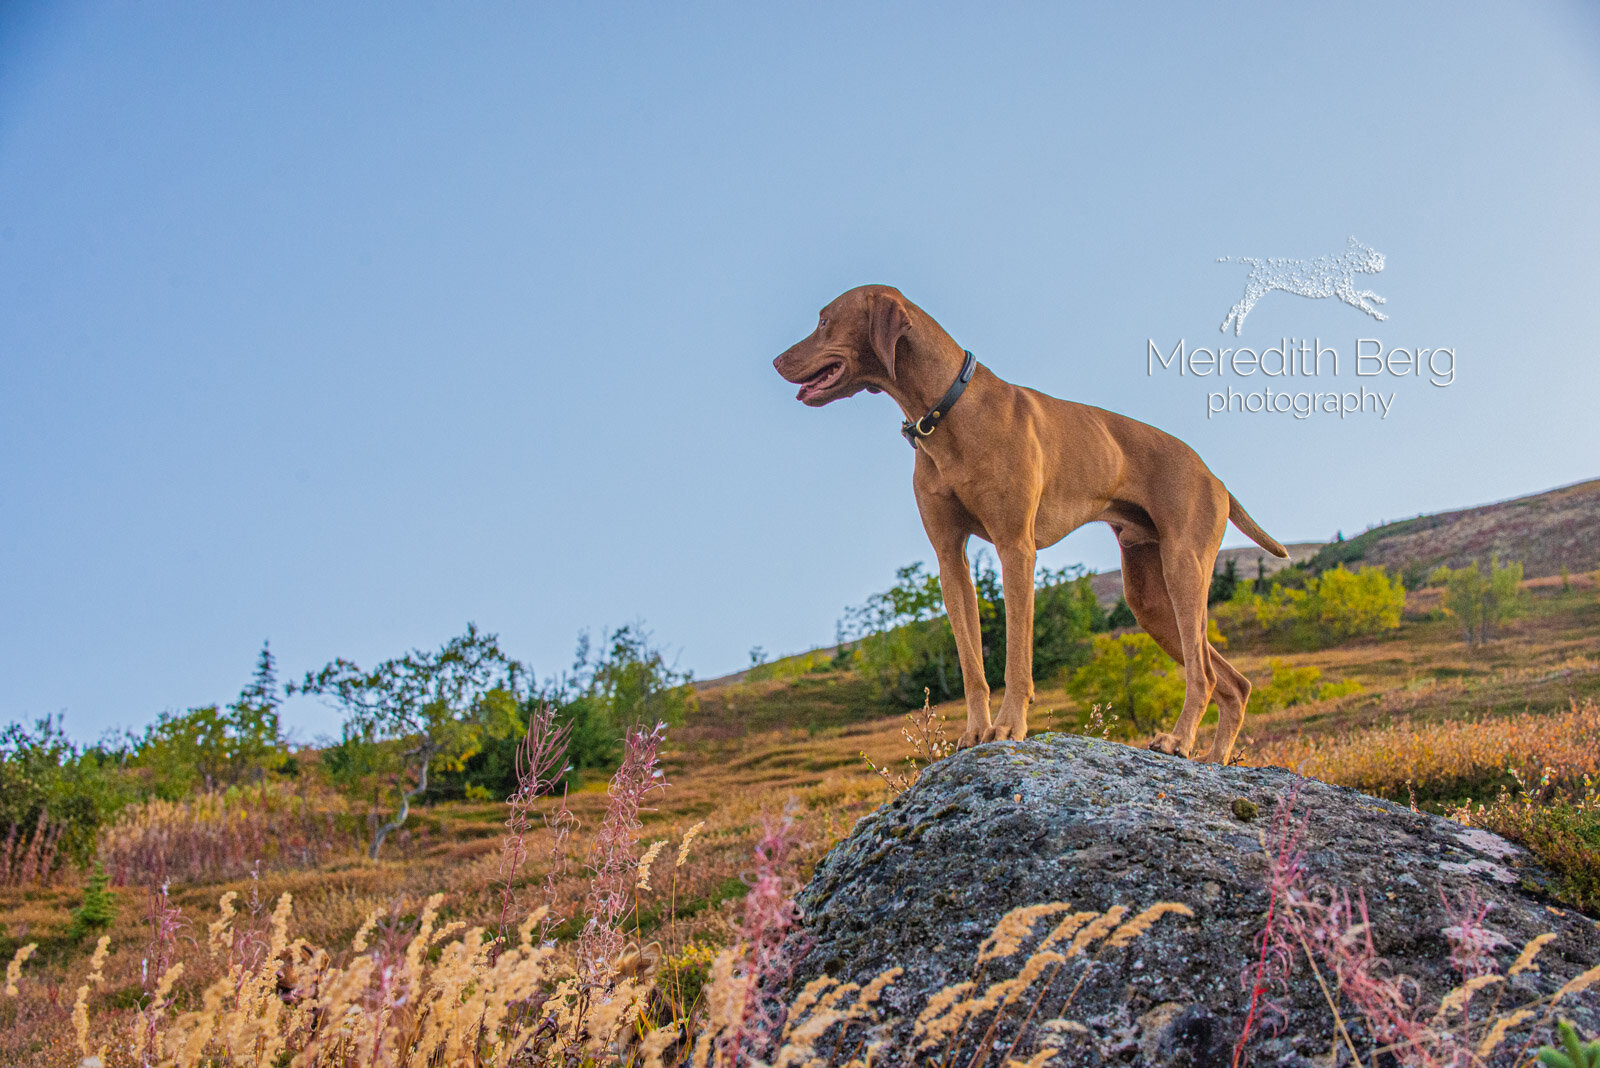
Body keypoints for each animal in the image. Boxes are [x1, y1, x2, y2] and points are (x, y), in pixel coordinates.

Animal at [774, 282, 1286, 764]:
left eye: (824, 321)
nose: (776, 360)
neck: (947, 410)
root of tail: (1215, 477)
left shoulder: (1015, 548)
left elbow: (1017, 656)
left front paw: (1008, 727)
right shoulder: (950, 559)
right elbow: (971, 664)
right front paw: (973, 733)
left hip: (1184, 571)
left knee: (1204, 674)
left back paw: (1178, 740)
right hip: (1150, 602)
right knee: (1234, 683)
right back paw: (1216, 761)